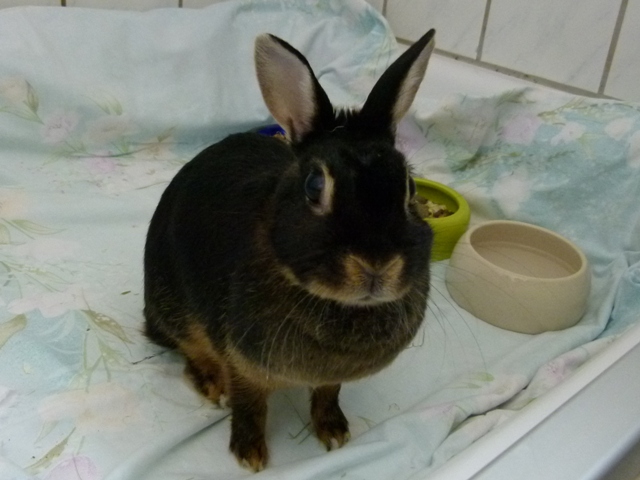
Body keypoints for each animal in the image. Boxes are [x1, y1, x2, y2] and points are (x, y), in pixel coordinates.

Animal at [143, 29, 436, 472]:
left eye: (409, 187)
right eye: (315, 186)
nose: (377, 266)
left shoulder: (331, 376)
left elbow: (328, 393)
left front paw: (334, 434)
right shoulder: (243, 363)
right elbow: (250, 406)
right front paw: (250, 456)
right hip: (173, 305)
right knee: (189, 349)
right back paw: (213, 385)